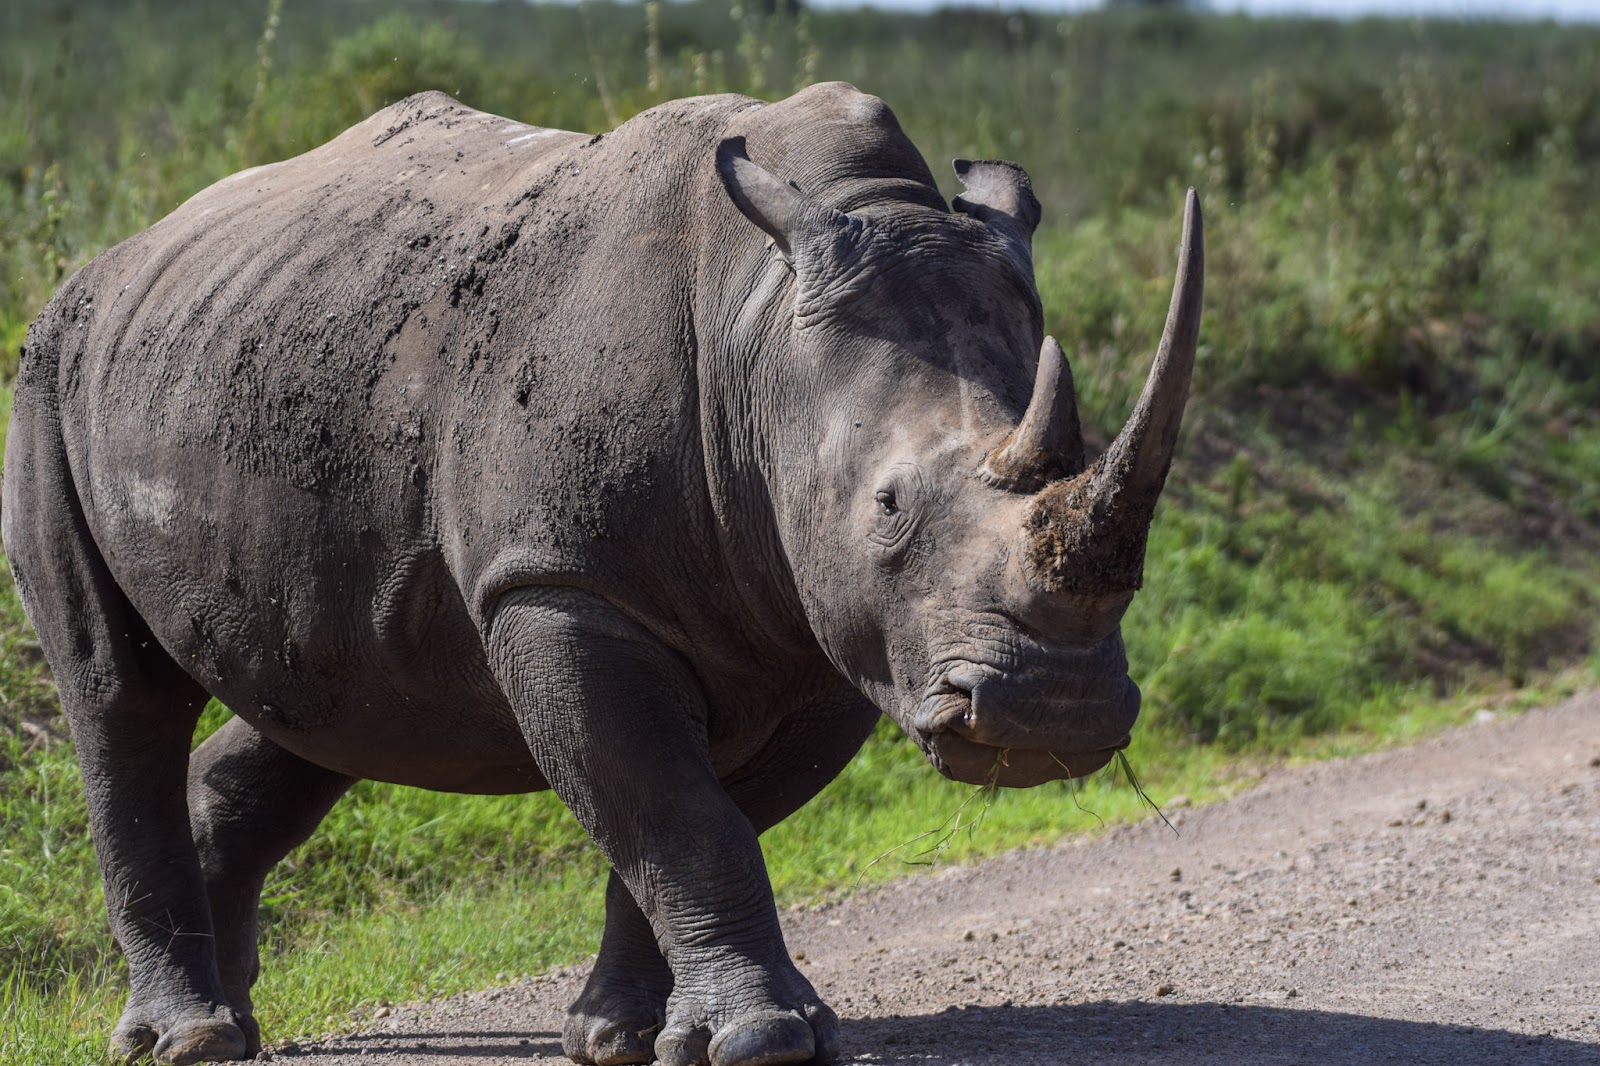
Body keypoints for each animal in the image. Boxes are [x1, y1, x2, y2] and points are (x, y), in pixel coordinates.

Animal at [2, 83, 1201, 1065]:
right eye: (889, 507)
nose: (1052, 715)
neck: (762, 335)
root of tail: (119, 255)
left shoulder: (831, 633)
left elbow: (683, 814)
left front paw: (624, 1034)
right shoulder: (559, 583)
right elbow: (678, 812)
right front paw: (760, 1039)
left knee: (329, 695)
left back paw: (233, 1017)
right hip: (52, 372)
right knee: (117, 694)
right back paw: (184, 1038)